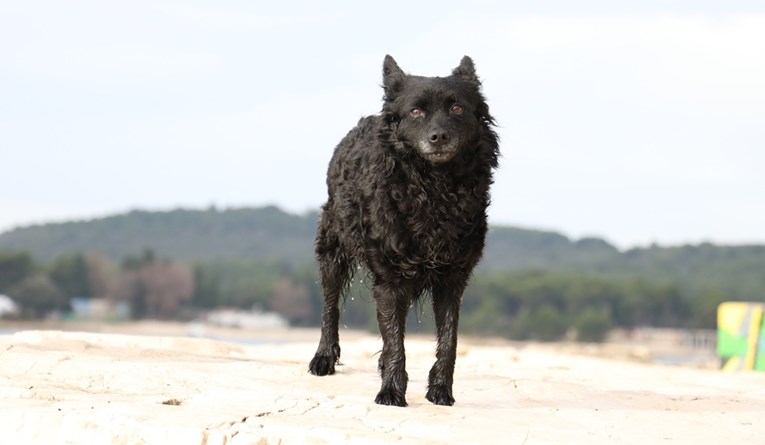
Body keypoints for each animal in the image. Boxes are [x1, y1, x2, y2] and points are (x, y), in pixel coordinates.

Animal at [308, 55, 498, 406]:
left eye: (457, 108)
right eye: (416, 112)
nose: (439, 137)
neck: (435, 188)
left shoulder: (452, 279)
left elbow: (448, 341)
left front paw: (441, 392)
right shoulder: (390, 279)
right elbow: (395, 340)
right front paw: (391, 392)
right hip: (332, 248)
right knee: (330, 307)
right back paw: (324, 357)